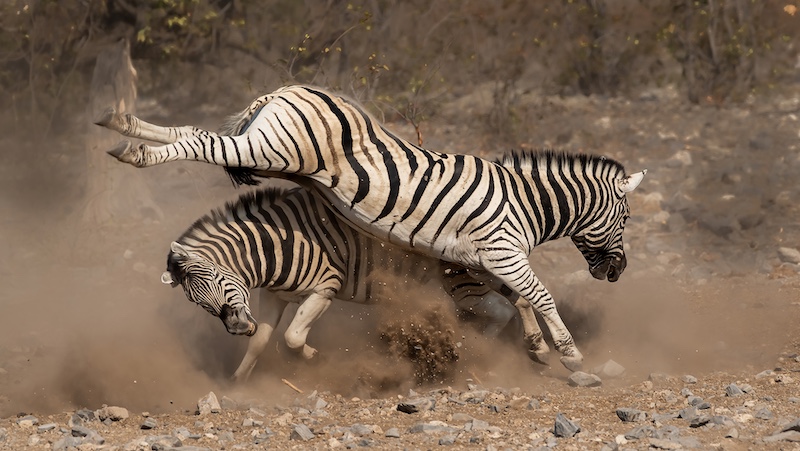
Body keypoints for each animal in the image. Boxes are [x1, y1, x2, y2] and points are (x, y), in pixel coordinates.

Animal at [164, 186, 519, 382]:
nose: (238, 328)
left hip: (463, 281)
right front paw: (238, 382)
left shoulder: (325, 288)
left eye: (217, 277)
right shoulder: (274, 296)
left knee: (505, 309)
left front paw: (314, 358)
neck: (274, 247)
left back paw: (481, 350)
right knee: (518, 302)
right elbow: (261, 341)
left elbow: (293, 337)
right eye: (197, 302)